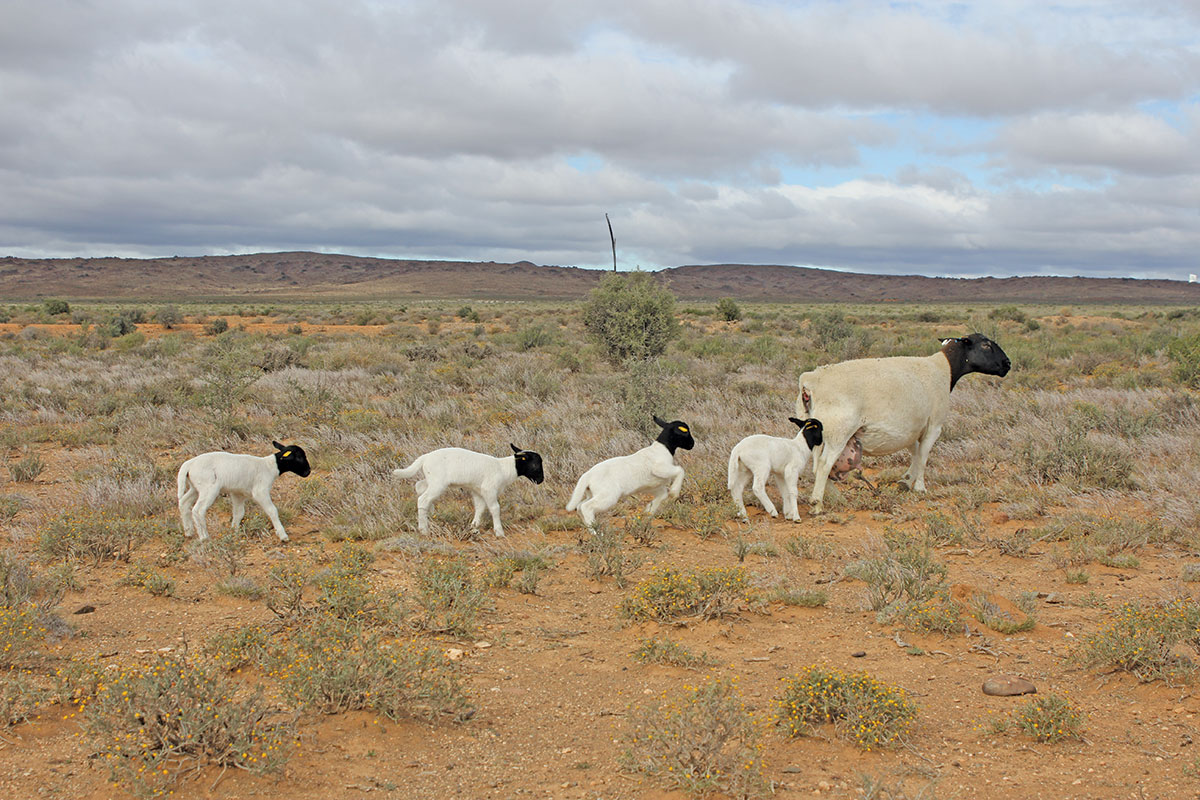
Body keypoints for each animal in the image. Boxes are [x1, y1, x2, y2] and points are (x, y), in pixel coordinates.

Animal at [177, 441, 311, 542]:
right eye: (300, 457)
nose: (308, 471)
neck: (269, 466)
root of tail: (189, 464)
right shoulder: (260, 492)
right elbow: (272, 511)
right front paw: (283, 535)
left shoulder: (238, 493)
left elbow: (238, 513)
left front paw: (234, 532)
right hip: (208, 489)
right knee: (198, 510)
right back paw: (204, 537)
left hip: (195, 488)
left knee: (184, 503)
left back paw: (188, 532)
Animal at [392, 444, 544, 538]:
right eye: (535, 464)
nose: (541, 480)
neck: (504, 468)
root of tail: (425, 458)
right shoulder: (489, 489)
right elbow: (495, 508)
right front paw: (499, 532)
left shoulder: (478, 491)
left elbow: (480, 508)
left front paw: (474, 527)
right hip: (438, 483)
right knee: (422, 499)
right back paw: (423, 529)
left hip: (432, 480)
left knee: (419, 486)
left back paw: (431, 513)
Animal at [566, 415, 695, 532]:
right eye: (685, 432)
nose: (692, 444)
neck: (662, 449)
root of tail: (587, 475)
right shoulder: (659, 469)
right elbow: (680, 470)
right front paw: (674, 492)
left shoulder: (652, 486)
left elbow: (662, 495)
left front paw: (649, 511)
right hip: (608, 496)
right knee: (586, 507)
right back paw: (596, 533)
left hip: (592, 493)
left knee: (579, 506)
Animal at [798, 333, 1011, 513]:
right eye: (986, 344)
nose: (1007, 364)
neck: (944, 369)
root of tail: (810, 381)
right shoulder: (934, 426)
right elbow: (924, 457)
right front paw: (920, 488)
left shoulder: (914, 430)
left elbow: (916, 454)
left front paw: (906, 481)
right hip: (838, 432)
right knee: (825, 464)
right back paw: (817, 505)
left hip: (816, 431)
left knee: (817, 466)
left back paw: (835, 498)